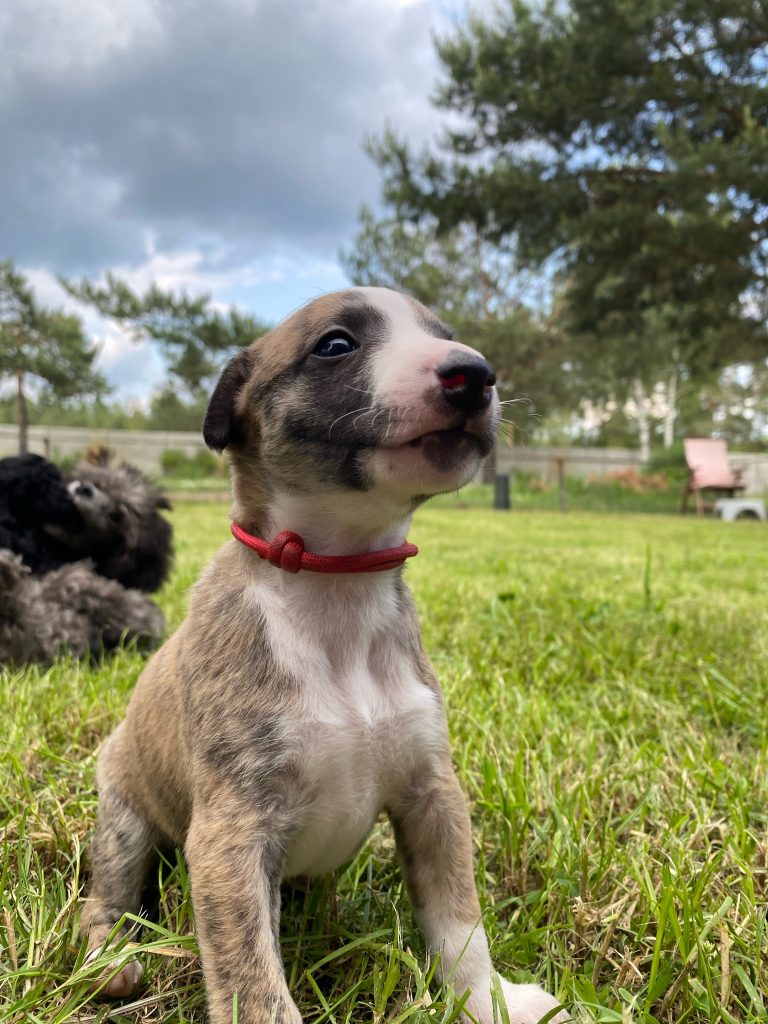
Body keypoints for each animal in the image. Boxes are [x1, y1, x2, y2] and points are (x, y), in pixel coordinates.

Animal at [81, 288, 567, 1024]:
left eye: (443, 334)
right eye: (336, 345)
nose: (475, 375)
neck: (335, 584)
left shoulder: (432, 796)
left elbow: (459, 921)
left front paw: (489, 999)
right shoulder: (231, 833)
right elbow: (252, 975)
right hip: (124, 812)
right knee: (107, 889)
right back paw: (109, 958)